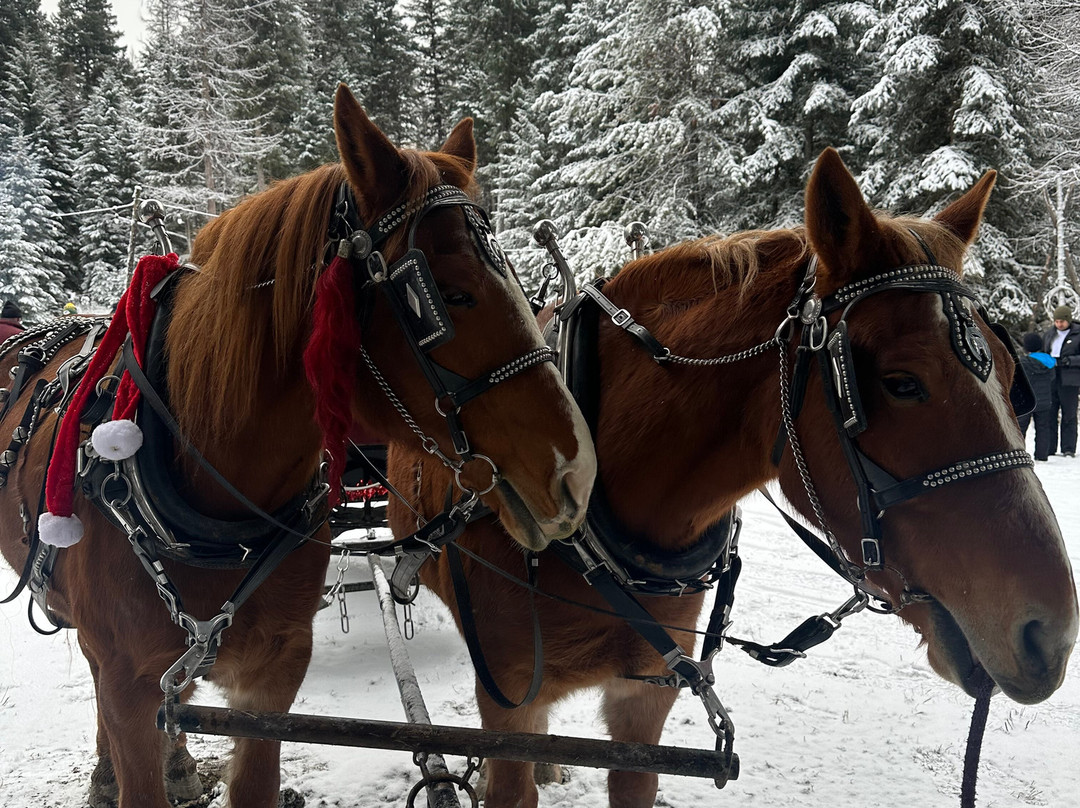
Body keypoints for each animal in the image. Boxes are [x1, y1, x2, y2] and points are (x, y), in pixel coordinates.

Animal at [387, 147, 1079, 808]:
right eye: (901, 382)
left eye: (1012, 381)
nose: (1051, 636)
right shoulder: (509, 700)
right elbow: (512, 779)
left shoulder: (647, 694)